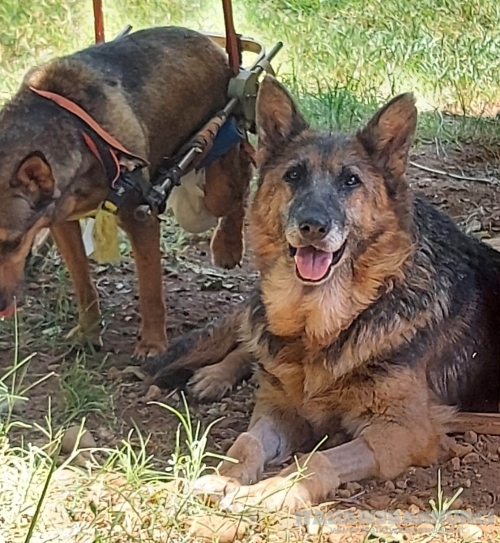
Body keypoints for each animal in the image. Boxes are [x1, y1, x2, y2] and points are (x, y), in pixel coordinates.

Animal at [0, 25, 250, 360]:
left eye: (13, 243)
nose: (1, 306)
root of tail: (205, 38)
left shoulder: (139, 216)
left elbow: (150, 290)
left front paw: (153, 344)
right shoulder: (61, 222)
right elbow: (83, 284)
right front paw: (89, 332)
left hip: (217, 170)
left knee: (241, 186)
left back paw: (228, 245)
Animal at [146, 74, 500, 512]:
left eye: (351, 181)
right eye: (294, 175)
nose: (312, 226)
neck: (319, 327)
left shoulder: (400, 433)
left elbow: (315, 460)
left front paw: (272, 489)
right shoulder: (278, 411)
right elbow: (246, 443)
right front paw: (223, 477)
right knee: (251, 344)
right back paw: (216, 374)